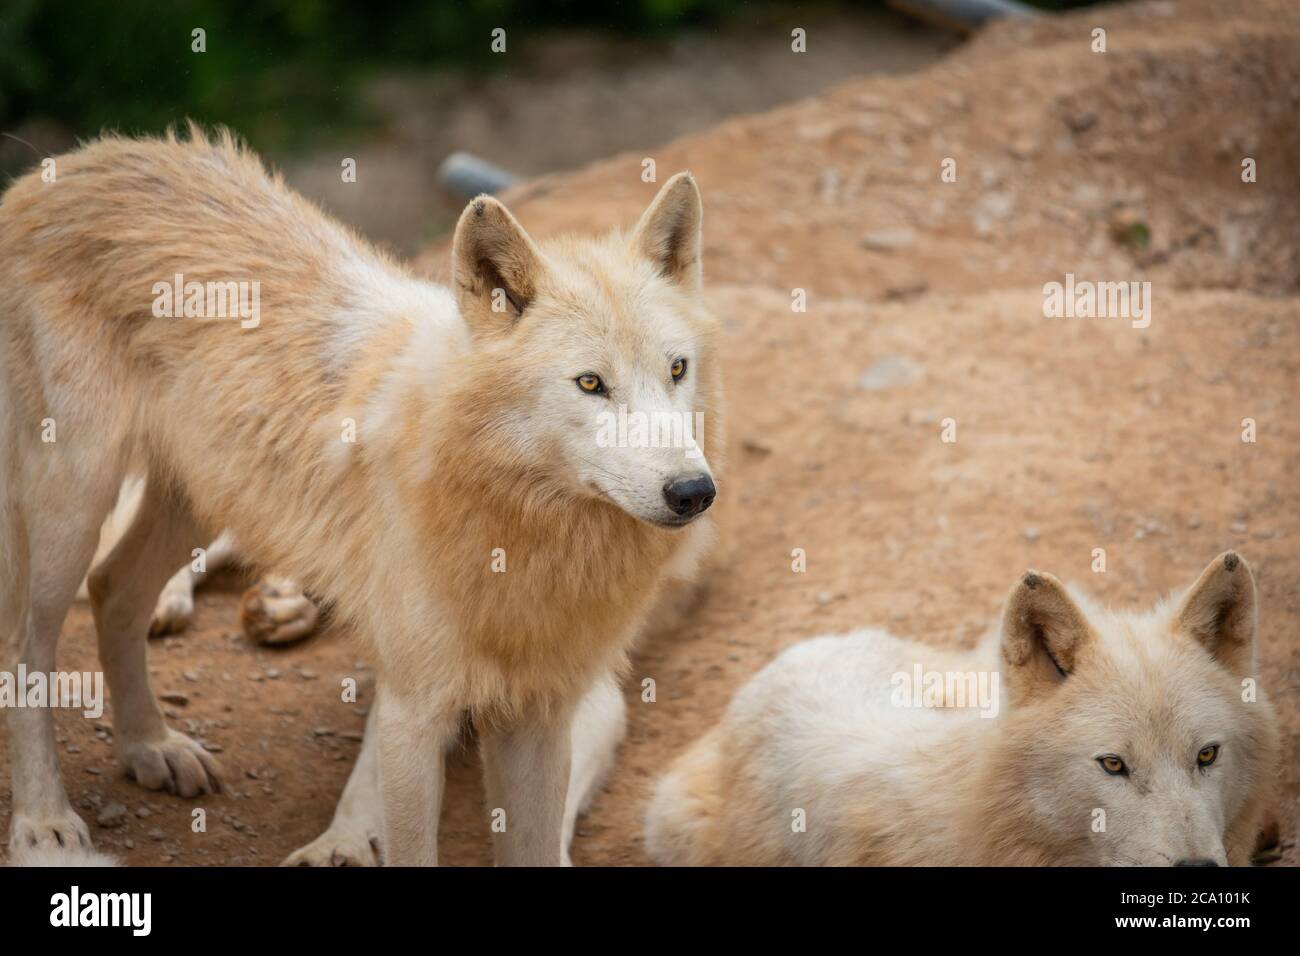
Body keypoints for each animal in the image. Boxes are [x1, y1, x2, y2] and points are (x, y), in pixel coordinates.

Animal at [0, 127, 722, 868]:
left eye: (676, 369)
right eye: (590, 384)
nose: (694, 492)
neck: (519, 523)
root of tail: (72, 163)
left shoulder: (542, 717)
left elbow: (534, 847)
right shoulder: (412, 710)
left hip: (197, 502)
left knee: (114, 587)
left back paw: (150, 748)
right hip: (72, 506)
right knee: (26, 644)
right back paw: (43, 821)